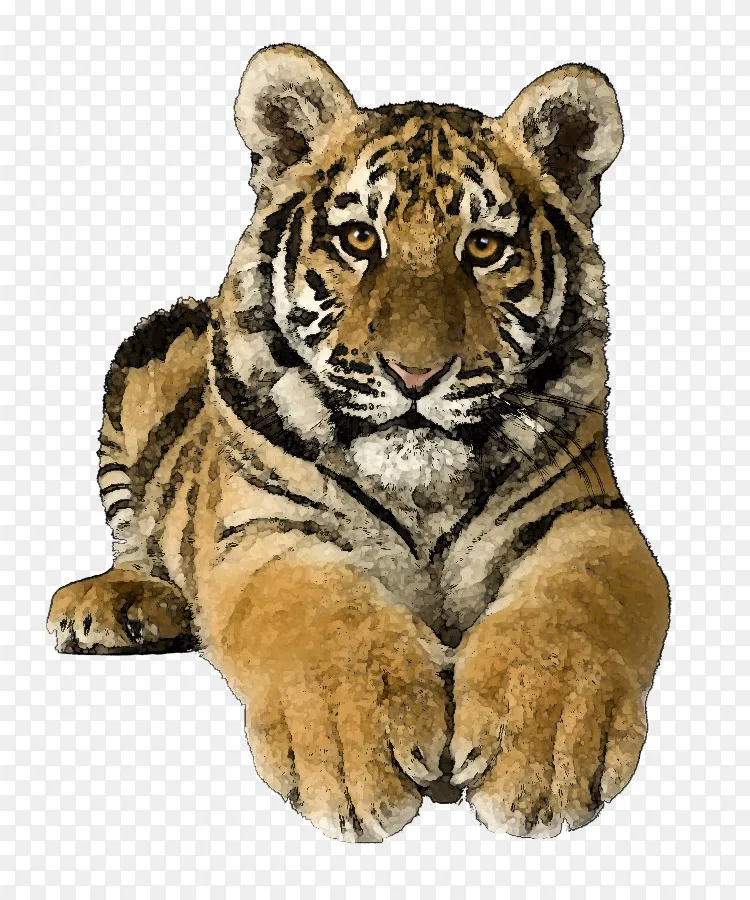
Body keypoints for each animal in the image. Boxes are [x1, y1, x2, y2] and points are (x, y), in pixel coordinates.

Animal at [48, 44, 669, 842]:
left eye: (484, 247)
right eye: (360, 240)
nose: (415, 373)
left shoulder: (587, 519)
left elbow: (569, 615)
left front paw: (544, 750)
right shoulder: (266, 531)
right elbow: (323, 619)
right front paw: (352, 749)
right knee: (135, 537)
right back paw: (117, 603)